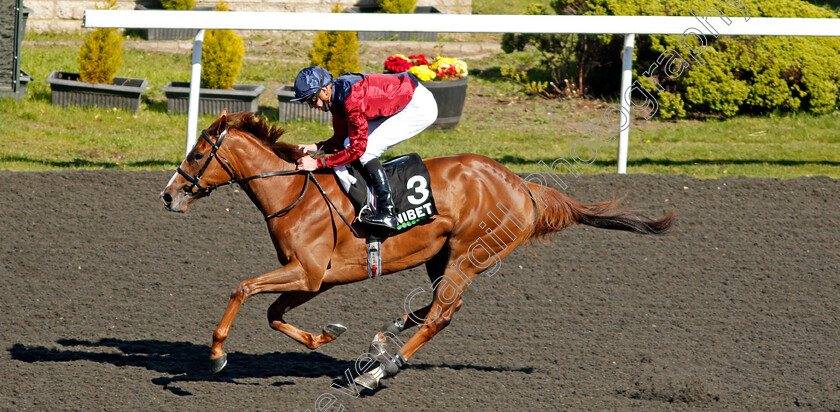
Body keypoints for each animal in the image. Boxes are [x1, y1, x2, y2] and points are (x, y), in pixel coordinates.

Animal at [159, 110, 676, 390]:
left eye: (198, 153)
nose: (168, 195)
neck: (294, 193)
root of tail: (523, 186)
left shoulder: (307, 272)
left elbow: (242, 288)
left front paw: (217, 354)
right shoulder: (314, 278)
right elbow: (273, 314)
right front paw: (327, 335)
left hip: (468, 253)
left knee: (442, 313)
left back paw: (379, 371)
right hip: (441, 257)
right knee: (440, 307)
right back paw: (383, 339)